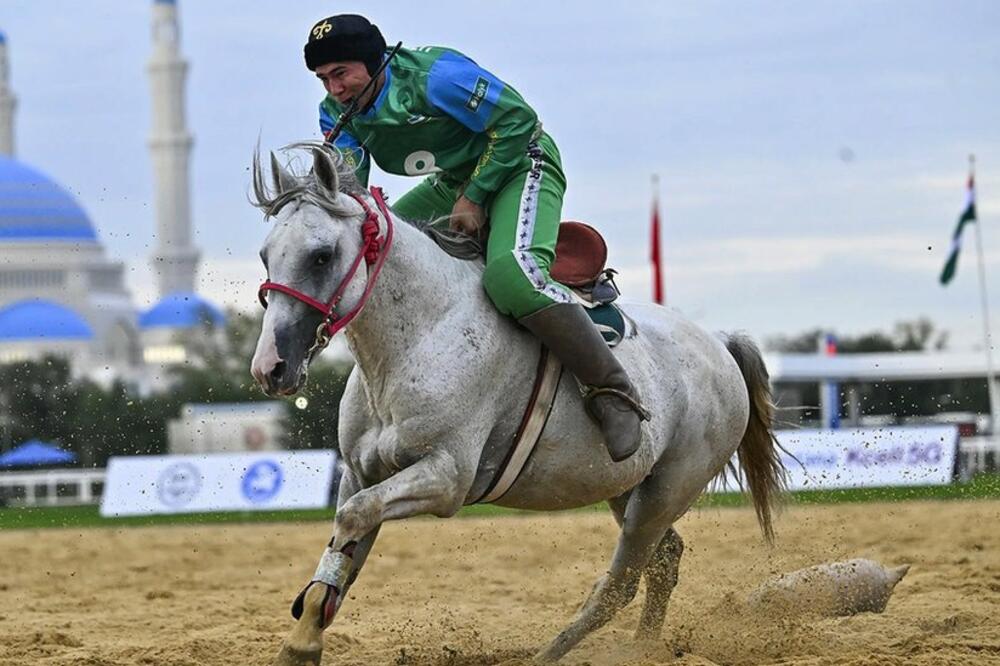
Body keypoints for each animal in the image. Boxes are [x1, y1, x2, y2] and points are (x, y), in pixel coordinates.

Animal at [246, 143, 784, 660]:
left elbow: (355, 515)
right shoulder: (360, 472)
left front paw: (302, 645)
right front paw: (303, 636)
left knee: (621, 584)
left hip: (665, 493)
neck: (422, 335)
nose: (270, 367)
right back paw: (643, 649)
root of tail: (719, 344)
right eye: (266, 255)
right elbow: (342, 551)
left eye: (321, 255)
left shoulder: (446, 478)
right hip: (629, 488)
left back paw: (554, 654)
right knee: (664, 561)